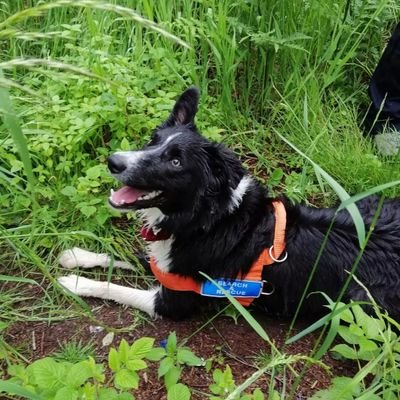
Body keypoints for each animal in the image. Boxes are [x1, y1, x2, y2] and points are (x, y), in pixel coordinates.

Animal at [58, 86, 400, 320]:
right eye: (153, 140)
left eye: (176, 162)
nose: (113, 161)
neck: (205, 220)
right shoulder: (168, 259)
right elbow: (127, 255)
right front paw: (77, 256)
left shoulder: (173, 301)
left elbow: (116, 288)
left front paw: (74, 283)